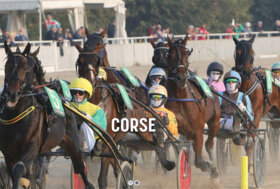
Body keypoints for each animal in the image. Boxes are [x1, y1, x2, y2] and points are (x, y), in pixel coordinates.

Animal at [0, 42, 94, 189]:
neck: (18, 114)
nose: (12, 94)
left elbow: (19, 170)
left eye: (26, 69)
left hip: (72, 141)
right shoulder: (9, 153)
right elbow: (18, 174)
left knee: (79, 165)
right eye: (6, 67)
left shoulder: (32, 147)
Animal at [74, 39, 175, 188]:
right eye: (79, 61)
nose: (89, 82)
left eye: (96, 60)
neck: (96, 102)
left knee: (153, 139)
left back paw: (166, 160)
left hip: (138, 125)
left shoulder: (107, 140)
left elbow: (102, 178)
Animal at [151, 36, 221, 178]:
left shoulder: (198, 129)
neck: (181, 99)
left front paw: (210, 166)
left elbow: (199, 160)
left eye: (186, 54)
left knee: (209, 143)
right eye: (170, 55)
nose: (181, 77)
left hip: (214, 120)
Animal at [232, 35, 280, 164]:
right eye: (238, 53)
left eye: (252, 52)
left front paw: (249, 165)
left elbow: (250, 140)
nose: (247, 72)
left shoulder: (257, 113)